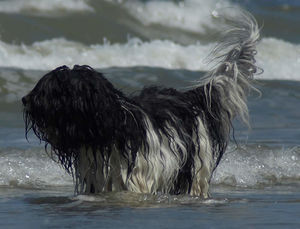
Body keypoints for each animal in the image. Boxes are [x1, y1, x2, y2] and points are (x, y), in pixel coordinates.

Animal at [21, 13, 260, 199]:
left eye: (52, 91)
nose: (25, 100)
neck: (108, 128)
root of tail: (191, 98)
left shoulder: (136, 177)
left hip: (195, 166)